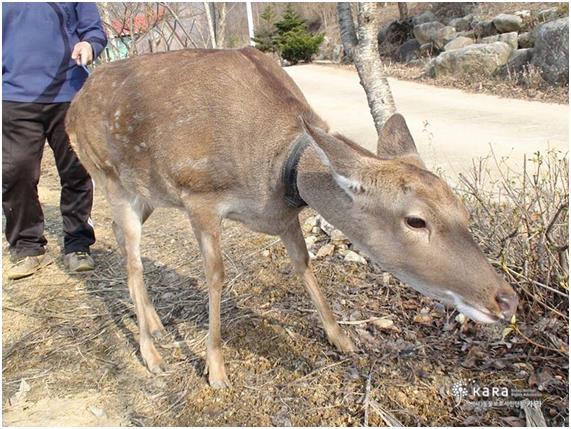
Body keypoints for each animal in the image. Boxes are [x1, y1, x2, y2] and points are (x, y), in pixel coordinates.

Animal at [66, 46, 520, 388]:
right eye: (416, 220)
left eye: (462, 208)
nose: (507, 299)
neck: (275, 165)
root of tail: (72, 106)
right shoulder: (199, 195)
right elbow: (216, 276)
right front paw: (216, 370)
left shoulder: (282, 216)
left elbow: (304, 264)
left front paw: (342, 338)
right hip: (109, 177)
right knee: (131, 259)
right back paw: (152, 354)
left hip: (146, 194)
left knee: (119, 240)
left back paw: (157, 324)